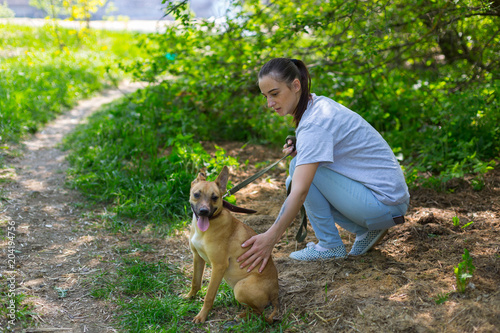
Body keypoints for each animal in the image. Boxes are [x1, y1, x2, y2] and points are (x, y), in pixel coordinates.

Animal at [186, 165, 280, 322]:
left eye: (214, 197)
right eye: (196, 194)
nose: (204, 211)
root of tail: (275, 293)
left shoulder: (218, 266)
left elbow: (209, 296)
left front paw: (202, 315)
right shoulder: (197, 257)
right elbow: (195, 282)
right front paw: (189, 297)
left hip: (240, 287)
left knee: (259, 310)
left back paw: (242, 315)